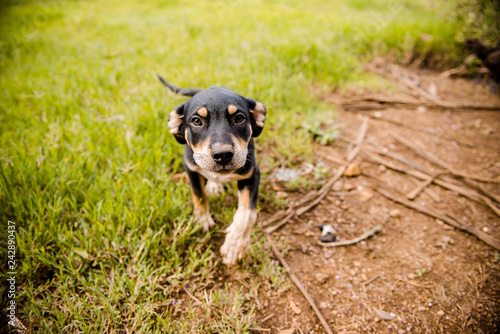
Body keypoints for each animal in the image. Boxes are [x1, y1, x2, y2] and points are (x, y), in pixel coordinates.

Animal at [157, 74, 266, 264]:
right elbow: (199, 195)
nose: (223, 155)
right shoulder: (191, 168)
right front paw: (202, 220)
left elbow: (247, 214)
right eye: (196, 121)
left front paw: (234, 245)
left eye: (239, 118)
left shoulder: (252, 174)